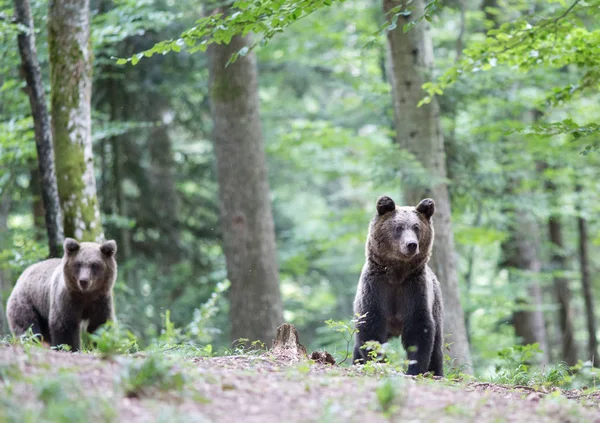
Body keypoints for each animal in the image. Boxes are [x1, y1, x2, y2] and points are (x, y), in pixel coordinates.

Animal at [352, 196, 446, 378]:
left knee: (437, 346)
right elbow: (370, 328)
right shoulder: (376, 288)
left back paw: (437, 372)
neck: (397, 273)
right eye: (399, 227)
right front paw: (379, 362)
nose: (411, 244)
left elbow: (419, 329)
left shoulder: (414, 290)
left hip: (436, 306)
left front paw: (415, 369)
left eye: (416, 227)